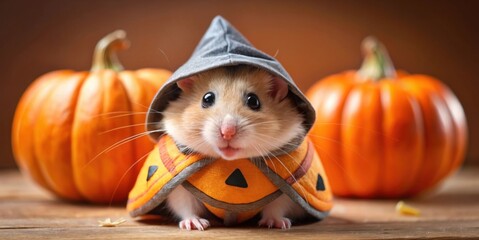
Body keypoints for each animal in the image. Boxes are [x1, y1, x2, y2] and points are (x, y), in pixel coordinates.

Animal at [161, 64, 308, 230]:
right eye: (207, 98)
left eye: (253, 101)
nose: (227, 132)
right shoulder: (180, 189)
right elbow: (186, 206)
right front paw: (196, 225)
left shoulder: (283, 193)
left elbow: (276, 207)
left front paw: (277, 224)